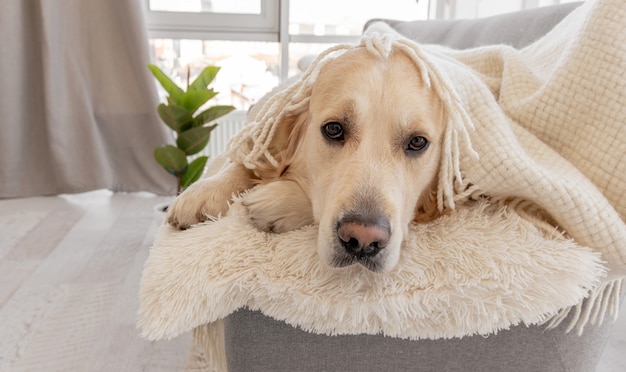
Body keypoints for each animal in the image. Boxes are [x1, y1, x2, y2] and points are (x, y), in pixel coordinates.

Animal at [167, 46, 444, 274]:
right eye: (333, 129)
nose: (363, 241)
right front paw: (206, 191)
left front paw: (274, 202)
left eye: (417, 142)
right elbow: (248, 163)